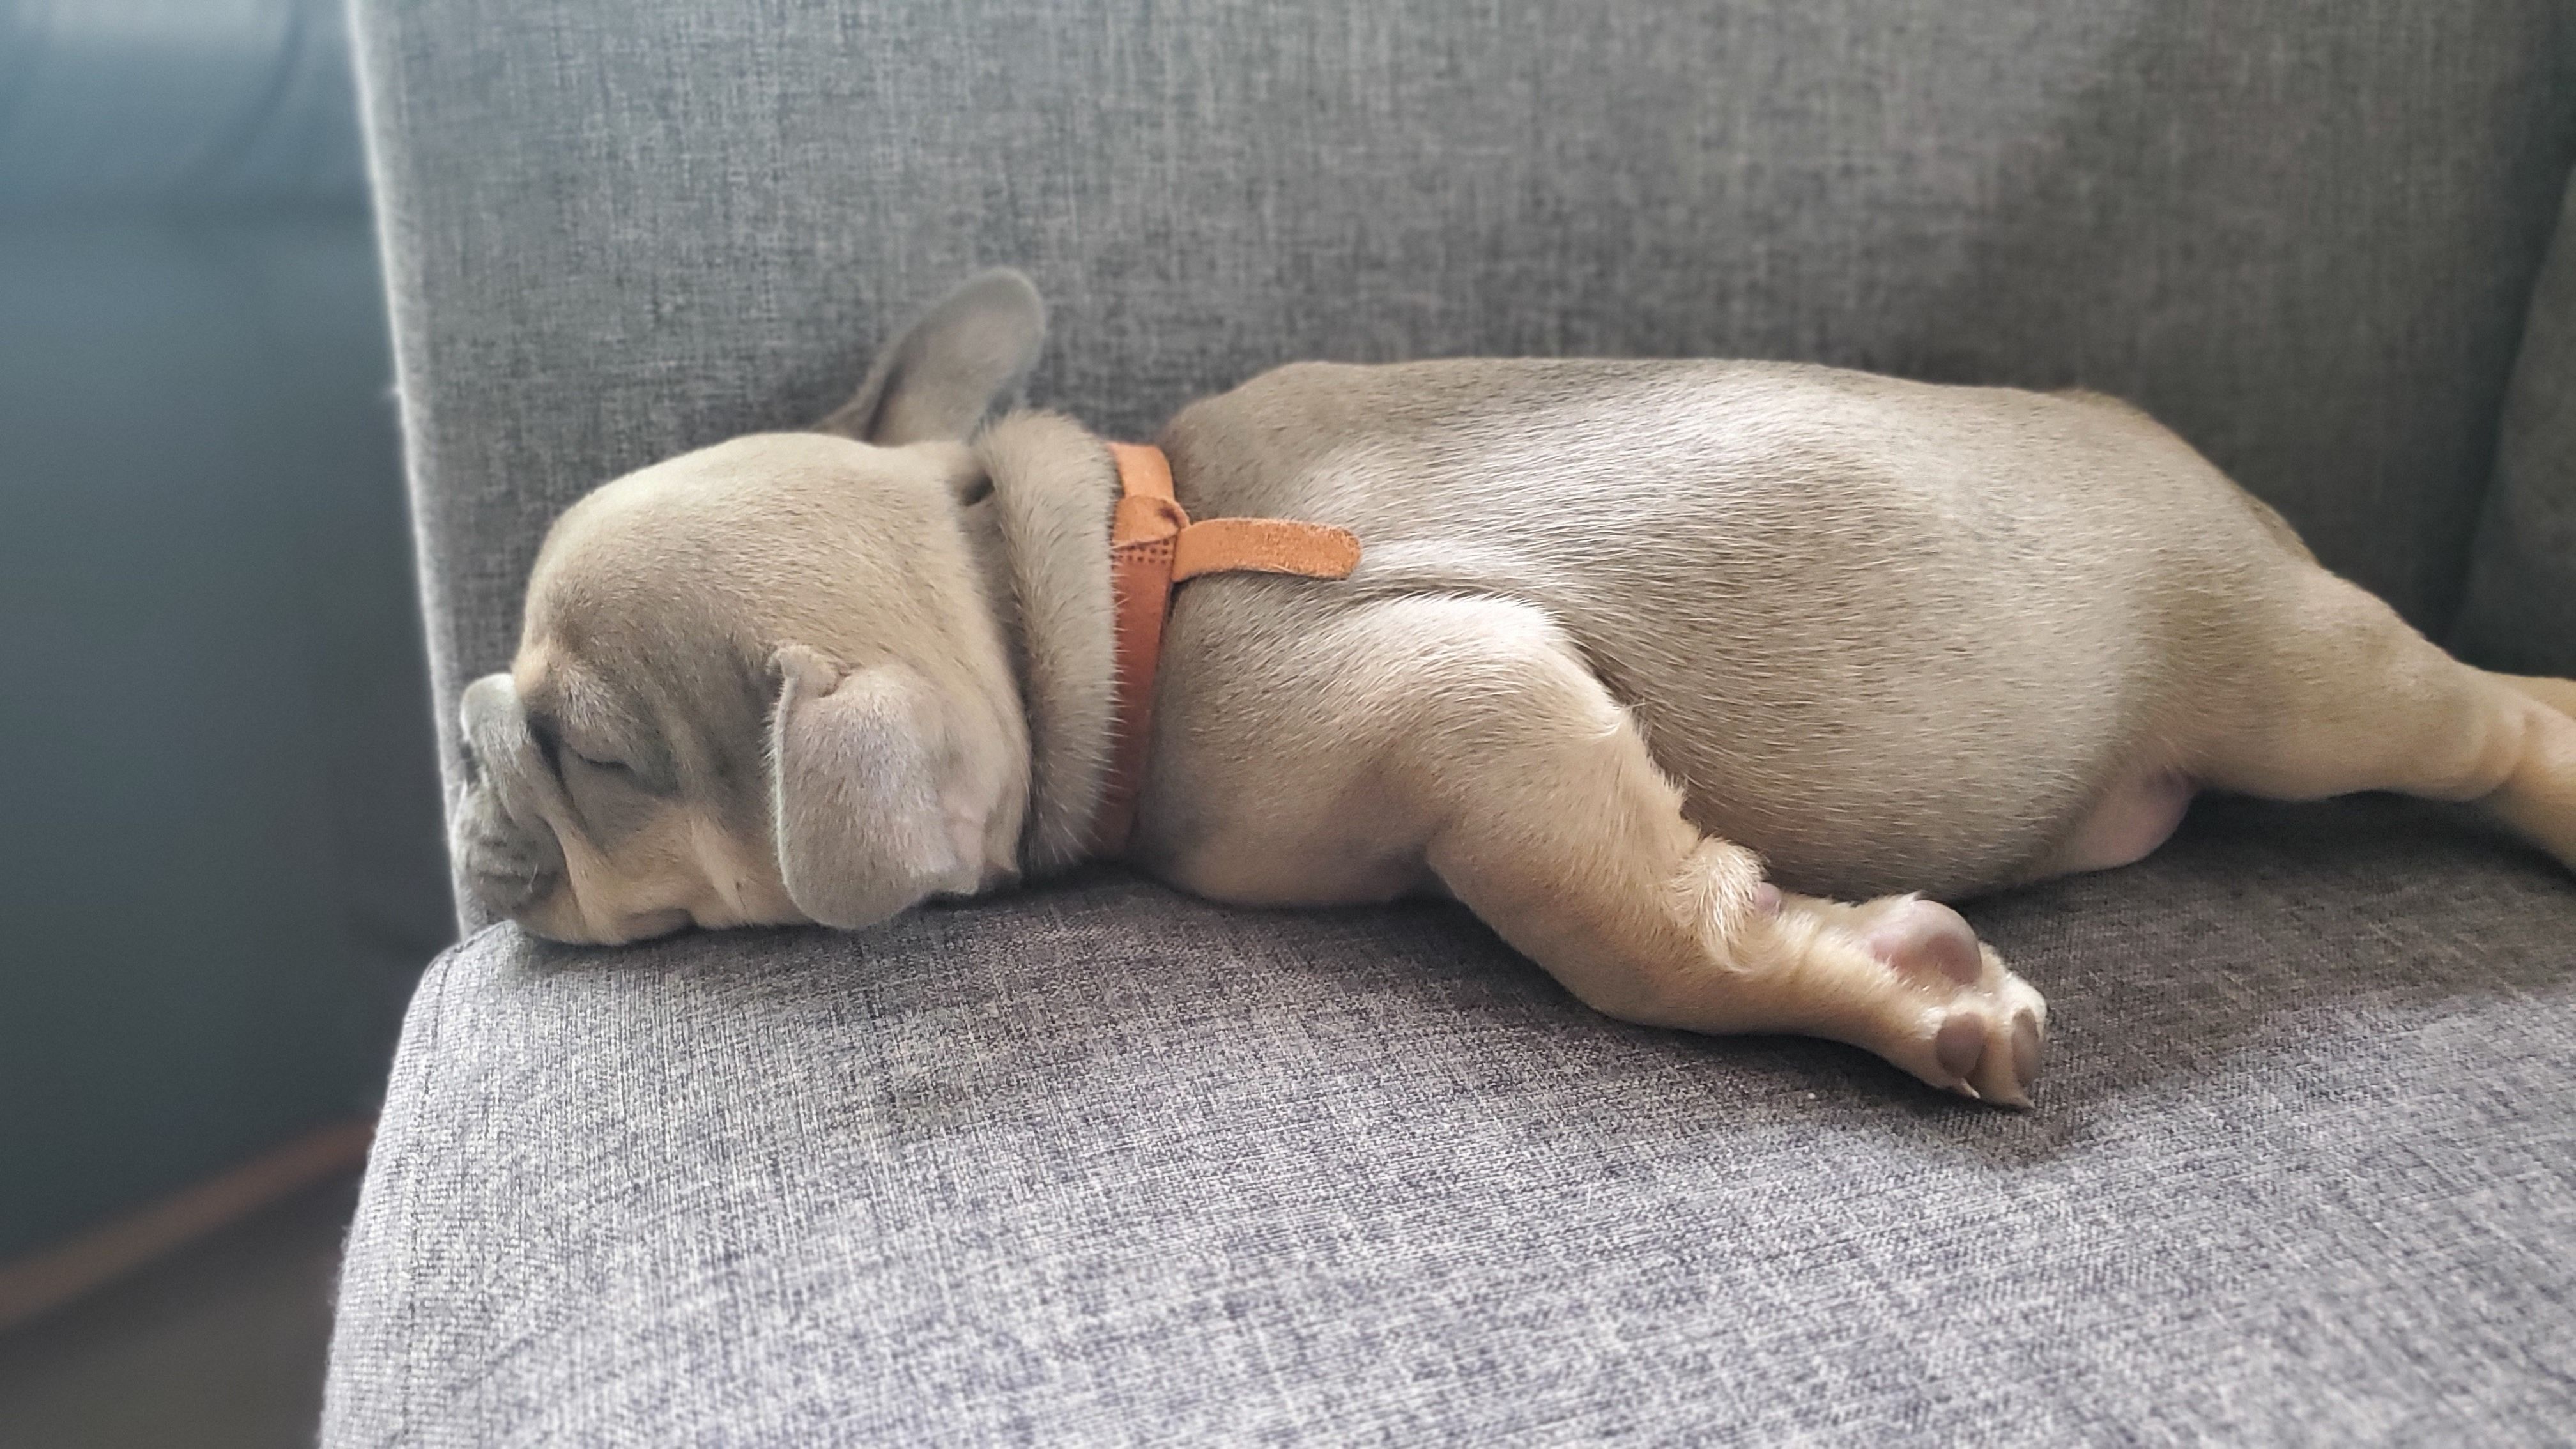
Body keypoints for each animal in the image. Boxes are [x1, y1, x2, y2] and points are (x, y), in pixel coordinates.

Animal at [453, 273, 2576, 1103]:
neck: (1070, 607)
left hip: (2304, 683)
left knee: (2490, 714)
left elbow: (1636, 925)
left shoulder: (1468, 703)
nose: (464, 733)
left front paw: (1878, 990)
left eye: (587, 751)